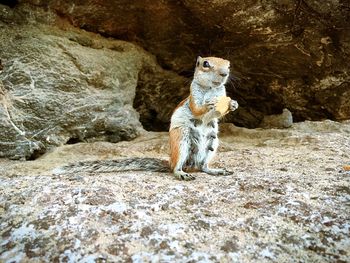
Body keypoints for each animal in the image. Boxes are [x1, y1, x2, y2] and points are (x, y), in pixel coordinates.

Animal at [53, 55, 239, 179]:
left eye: (228, 65)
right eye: (206, 64)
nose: (224, 73)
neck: (211, 90)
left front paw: (233, 104)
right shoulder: (194, 97)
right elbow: (197, 109)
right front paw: (209, 105)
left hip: (212, 144)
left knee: (202, 166)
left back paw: (215, 170)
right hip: (181, 140)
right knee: (177, 167)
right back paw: (181, 173)